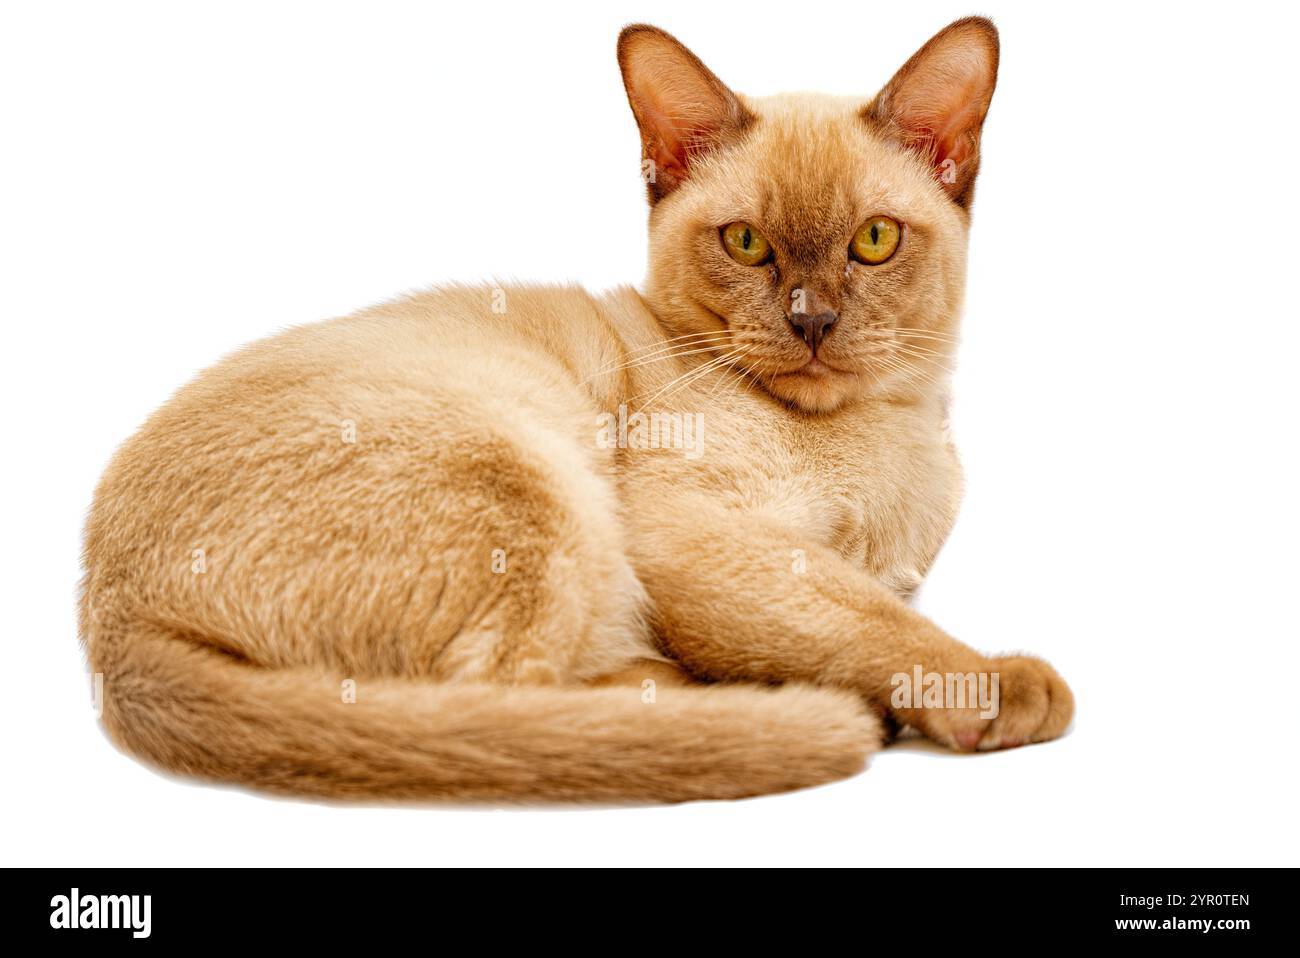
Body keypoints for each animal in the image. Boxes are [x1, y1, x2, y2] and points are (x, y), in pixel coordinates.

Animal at [83, 18, 1076, 805]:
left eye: (872, 242)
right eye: (746, 243)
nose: (813, 321)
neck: (885, 436)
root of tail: (111, 629)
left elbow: (872, 603)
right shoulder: (697, 534)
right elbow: (867, 617)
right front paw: (993, 684)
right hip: (533, 479)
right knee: (510, 710)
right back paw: (768, 702)